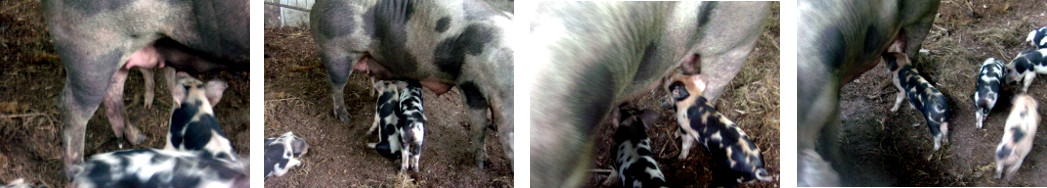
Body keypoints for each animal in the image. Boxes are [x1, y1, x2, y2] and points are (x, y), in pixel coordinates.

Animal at [309, 0, 515, 167]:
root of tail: (316, 6)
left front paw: (493, 128)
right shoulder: (469, 83)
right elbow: (479, 124)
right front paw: (481, 163)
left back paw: (371, 96)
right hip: (337, 52)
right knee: (336, 86)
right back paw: (345, 117)